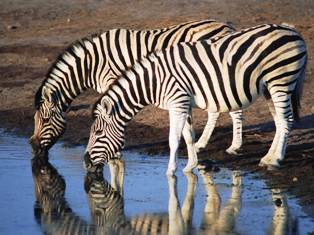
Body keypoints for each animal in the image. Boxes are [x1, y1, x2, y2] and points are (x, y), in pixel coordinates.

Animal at [28, 18, 245, 158]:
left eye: (45, 120)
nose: (33, 147)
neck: (91, 64)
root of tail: (227, 25)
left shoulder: (112, 79)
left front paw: (115, 150)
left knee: (234, 109)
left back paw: (234, 147)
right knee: (216, 109)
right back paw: (201, 144)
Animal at [85, 23, 306, 174]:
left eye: (98, 132)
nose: (86, 162)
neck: (154, 81)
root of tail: (292, 30)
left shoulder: (178, 102)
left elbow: (174, 139)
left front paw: (171, 172)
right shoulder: (181, 104)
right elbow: (188, 135)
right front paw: (191, 165)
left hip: (281, 81)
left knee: (286, 120)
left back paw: (276, 160)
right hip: (270, 87)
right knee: (279, 121)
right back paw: (268, 158)